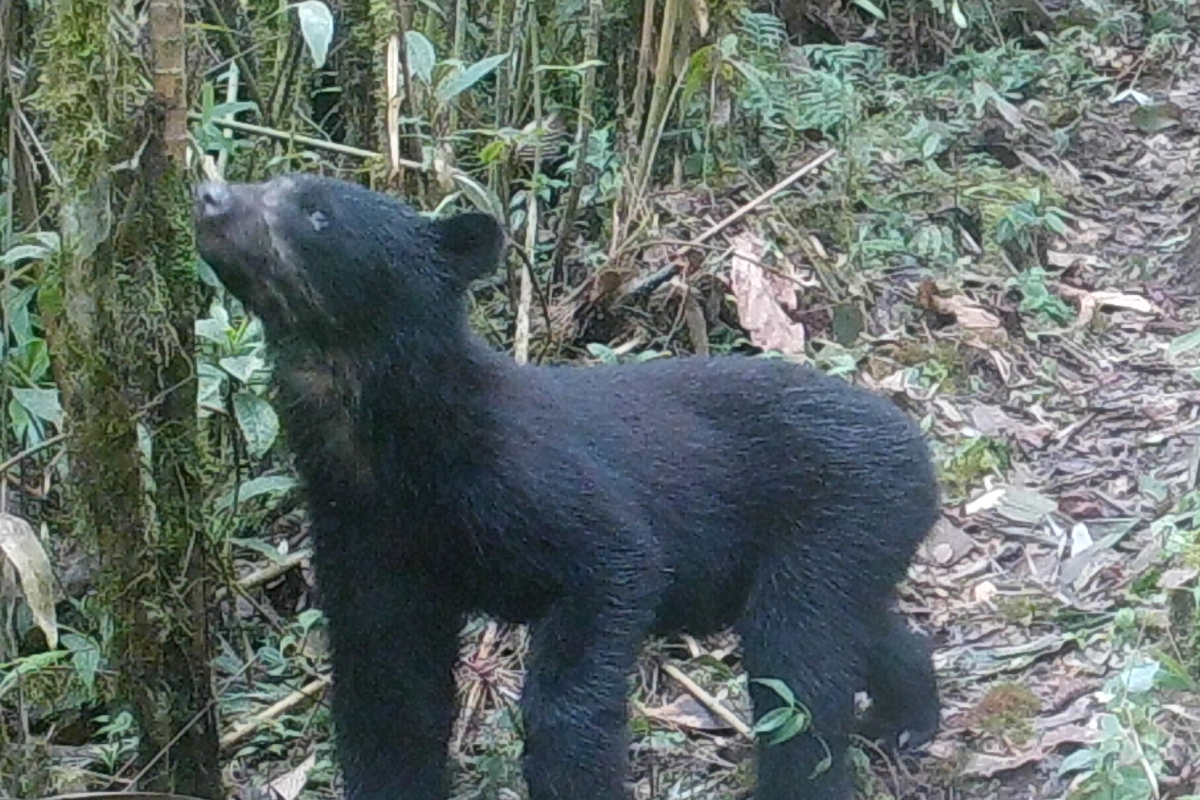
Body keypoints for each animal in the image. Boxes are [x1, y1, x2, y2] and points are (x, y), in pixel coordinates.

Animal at [192, 172, 940, 800]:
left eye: (316, 211)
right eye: (270, 178)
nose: (209, 196)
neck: (389, 456)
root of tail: (917, 447)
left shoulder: (529, 488)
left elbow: (608, 583)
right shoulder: (365, 543)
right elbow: (388, 697)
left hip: (841, 513)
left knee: (798, 664)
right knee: (856, 629)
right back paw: (910, 717)